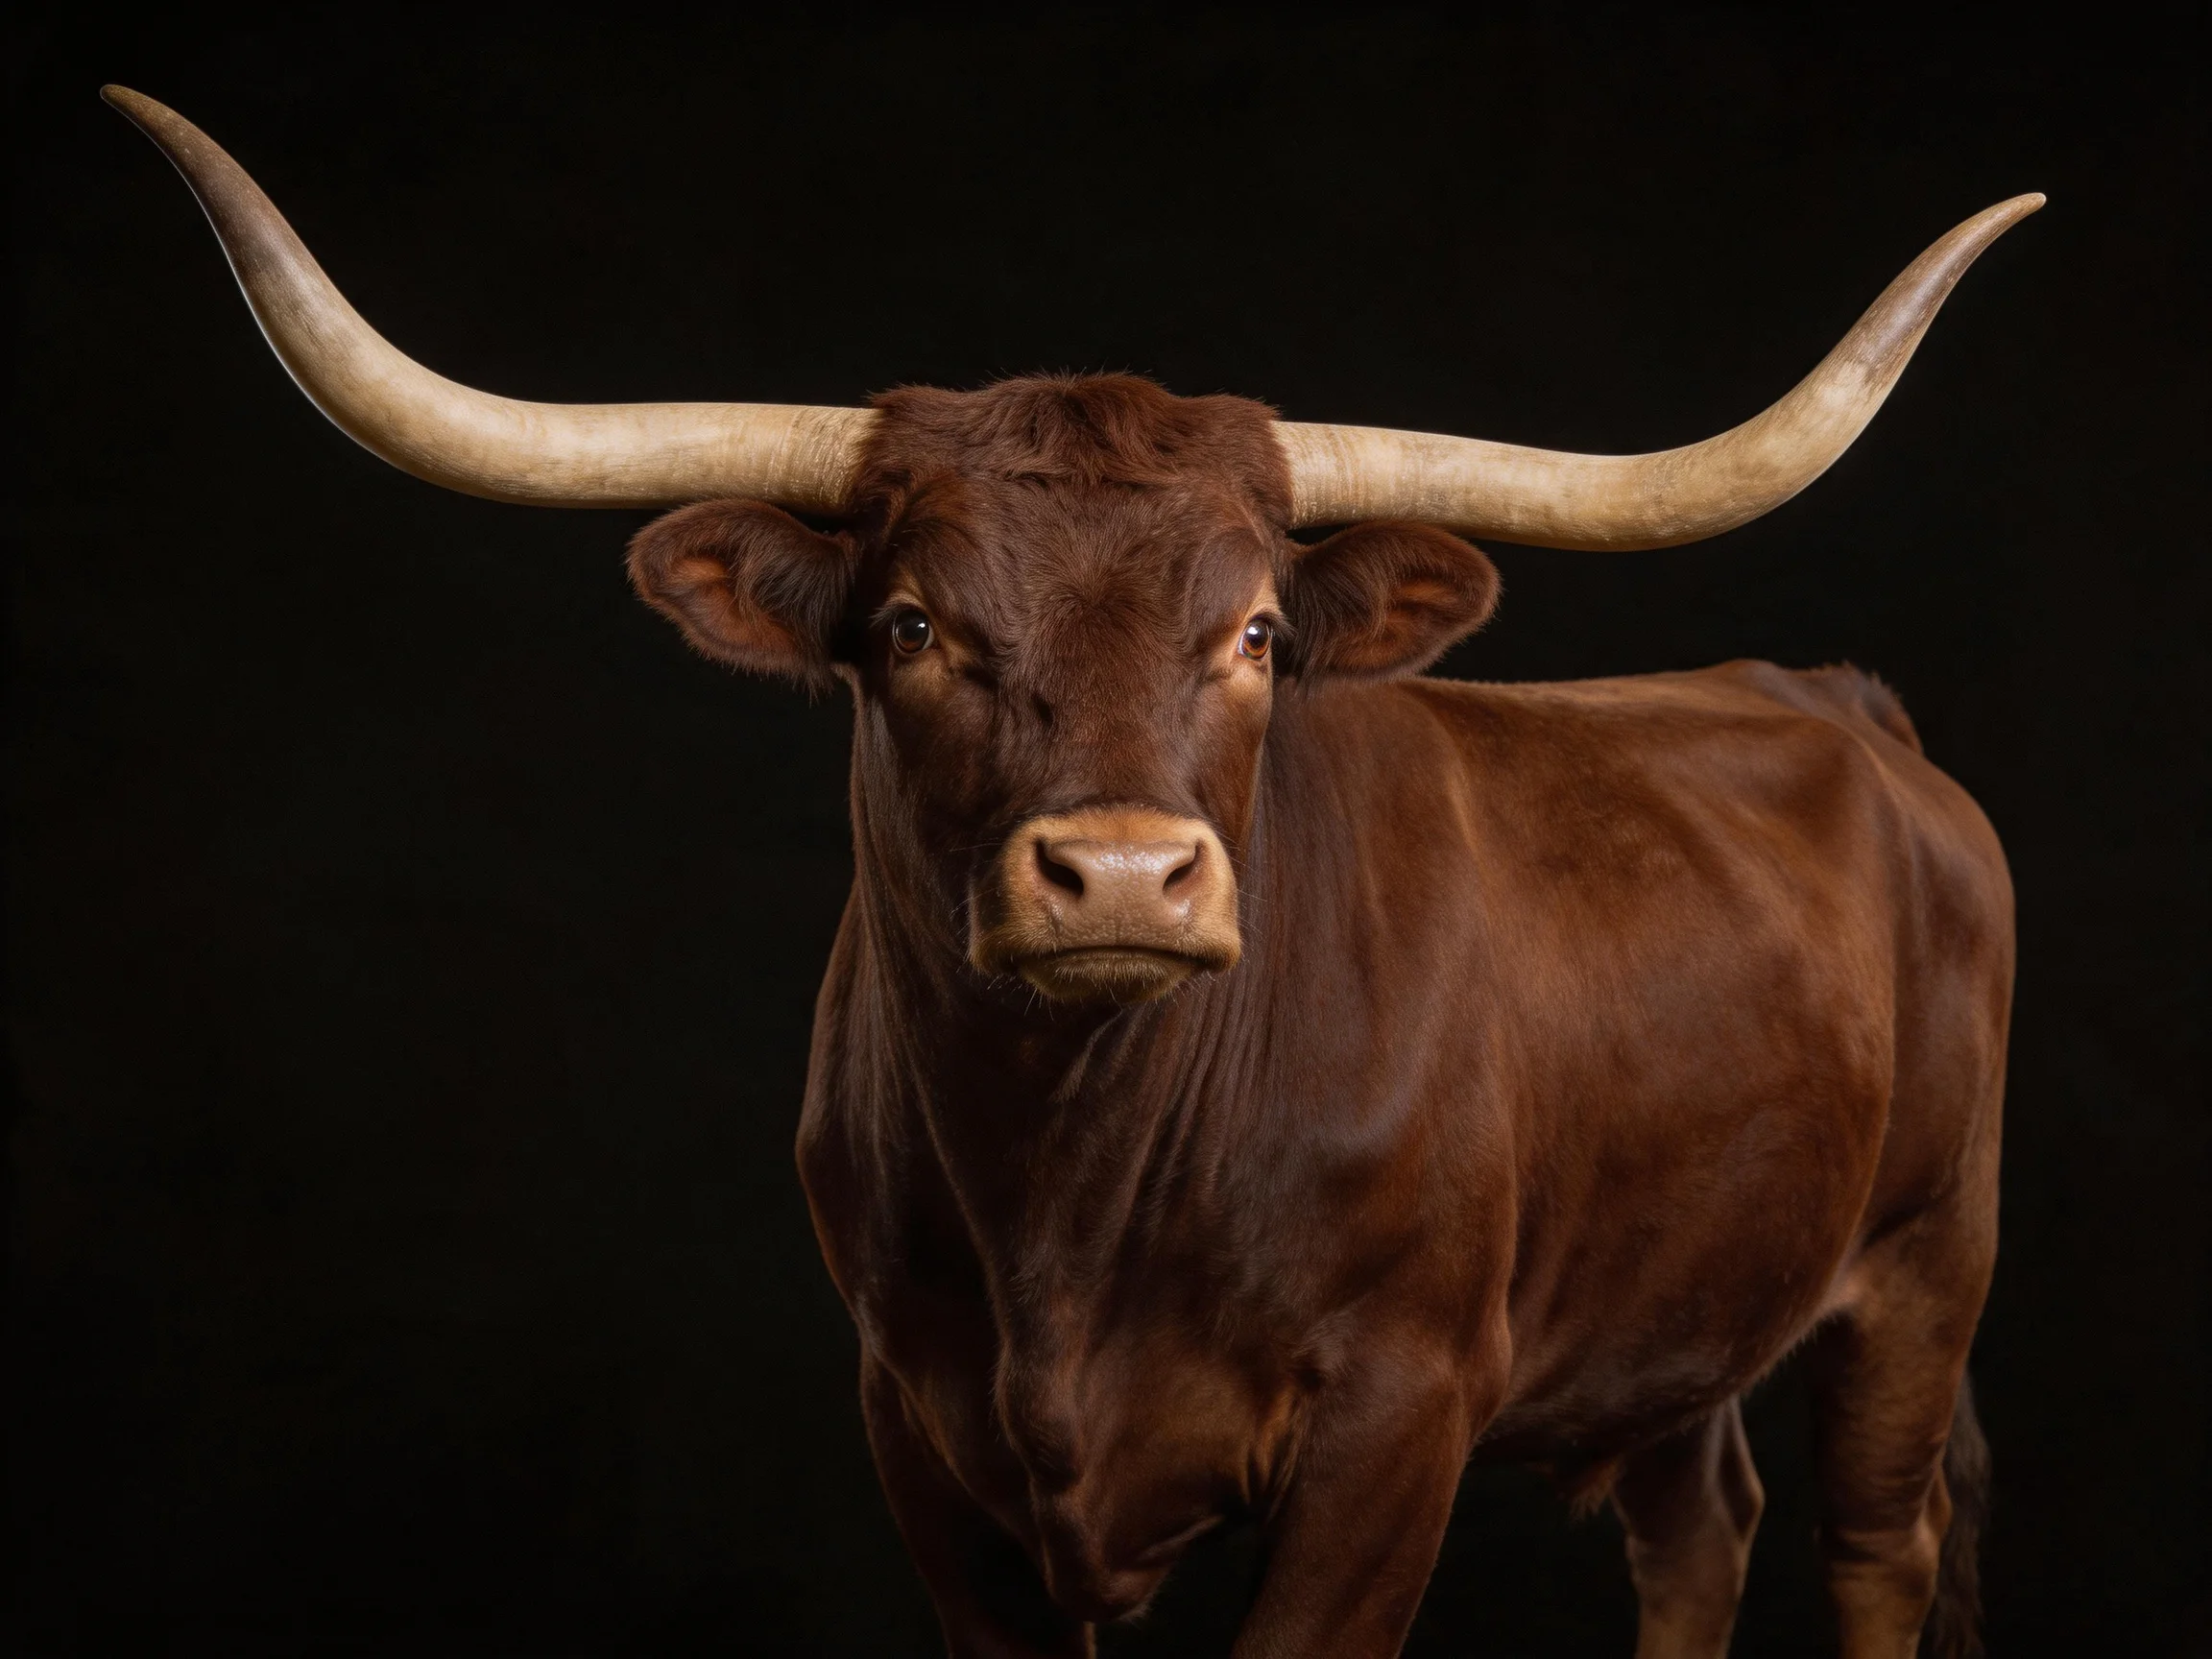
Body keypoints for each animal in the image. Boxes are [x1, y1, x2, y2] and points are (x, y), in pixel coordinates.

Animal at [108, 87, 2029, 1659]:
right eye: (910, 626)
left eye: (1255, 632)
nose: (1119, 876)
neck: (1068, 1209)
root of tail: (1832, 698)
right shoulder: (919, 1421)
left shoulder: (1395, 1415)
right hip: (1683, 1302)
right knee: (1697, 1525)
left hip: (1926, 1258)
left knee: (1878, 1543)